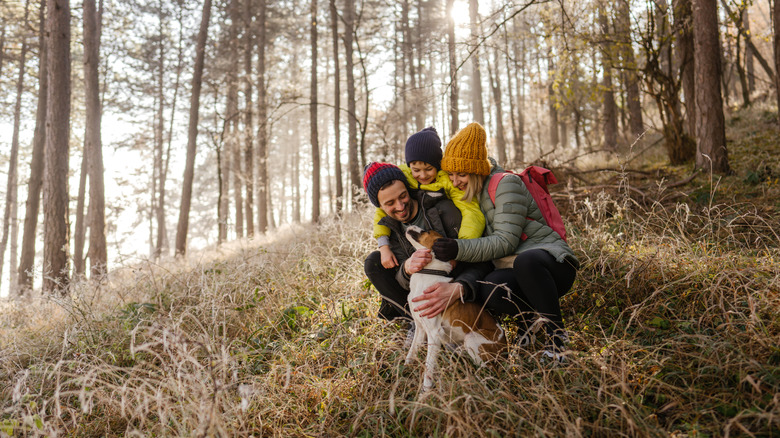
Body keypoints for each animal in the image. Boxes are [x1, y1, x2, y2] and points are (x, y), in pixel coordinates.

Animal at [402, 226, 506, 390]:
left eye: (427, 231)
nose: (409, 225)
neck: (429, 272)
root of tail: (506, 347)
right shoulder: (420, 328)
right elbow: (412, 352)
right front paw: (405, 369)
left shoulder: (434, 333)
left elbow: (429, 368)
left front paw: (425, 392)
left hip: (471, 339)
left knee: (490, 371)